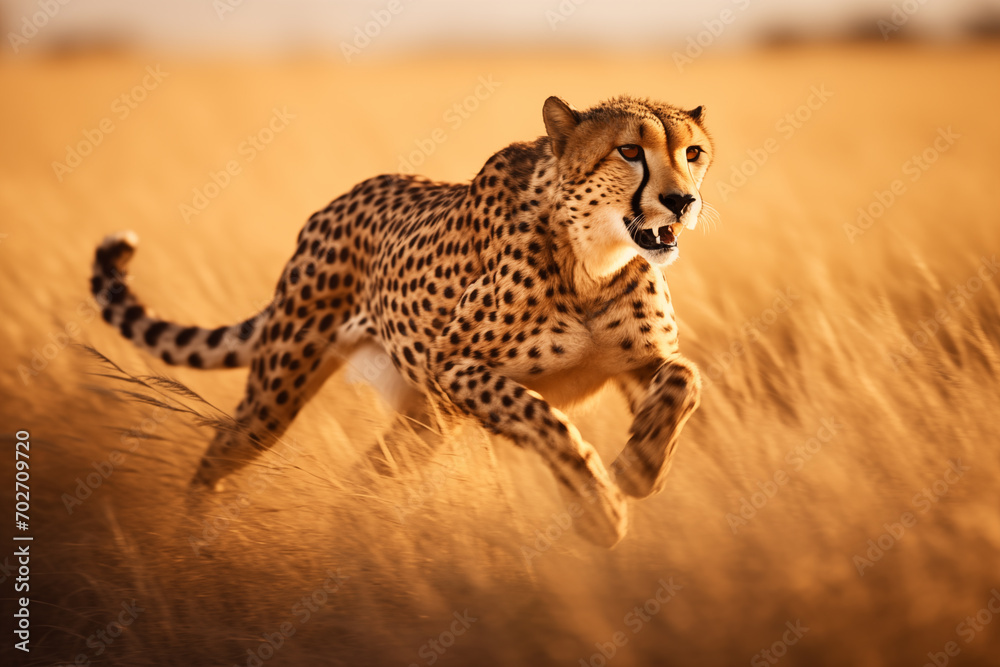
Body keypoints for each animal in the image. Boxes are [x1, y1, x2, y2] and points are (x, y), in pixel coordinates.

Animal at [89, 95, 714, 547]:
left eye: (693, 153)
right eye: (629, 151)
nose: (681, 201)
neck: (592, 260)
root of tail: (338, 201)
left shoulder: (636, 361)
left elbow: (685, 379)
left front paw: (640, 467)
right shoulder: (452, 365)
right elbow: (544, 419)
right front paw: (600, 510)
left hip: (424, 425)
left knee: (360, 476)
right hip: (280, 396)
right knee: (221, 446)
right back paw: (194, 536)